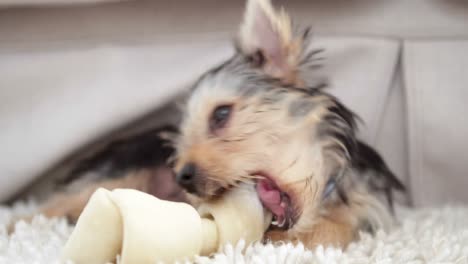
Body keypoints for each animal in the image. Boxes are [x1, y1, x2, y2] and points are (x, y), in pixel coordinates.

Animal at [36, 0, 404, 249]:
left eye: (221, 115)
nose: (181, 177)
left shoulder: (369, 212)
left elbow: (336, 228)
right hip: (117, 172)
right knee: (49, 208)